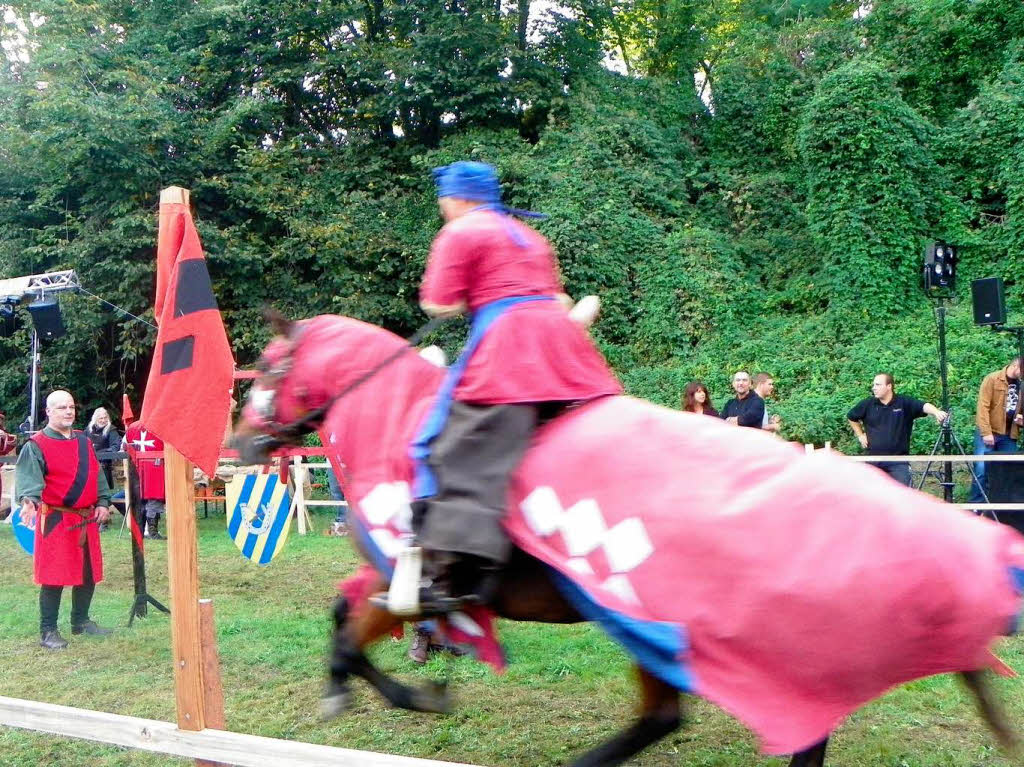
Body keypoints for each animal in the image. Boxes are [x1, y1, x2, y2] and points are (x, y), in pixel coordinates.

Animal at [234, 311, 1024, 765]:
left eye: (269, 367)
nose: (241, 443)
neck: (399, 422)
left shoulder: (409, 576)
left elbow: (351, 628)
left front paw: (398, 693)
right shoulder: (400, 583)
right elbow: (344, 616)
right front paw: (379, 686)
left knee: (693, 719)